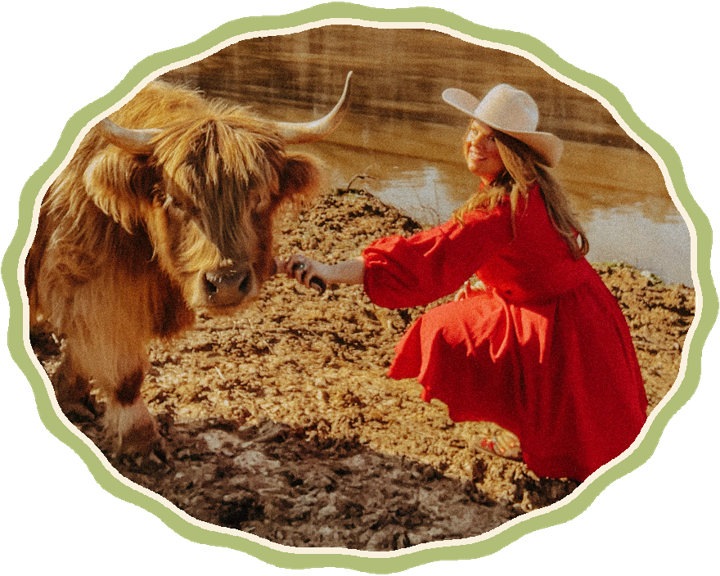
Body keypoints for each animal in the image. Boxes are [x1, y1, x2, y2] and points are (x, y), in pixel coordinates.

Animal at [25, 72, 353, 455]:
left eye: (258, 197)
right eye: (177, 201)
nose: (227, 284)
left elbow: (83, 353)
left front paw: (70, 396)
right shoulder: (93, 286)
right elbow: (123, 369)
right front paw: (140, 439)